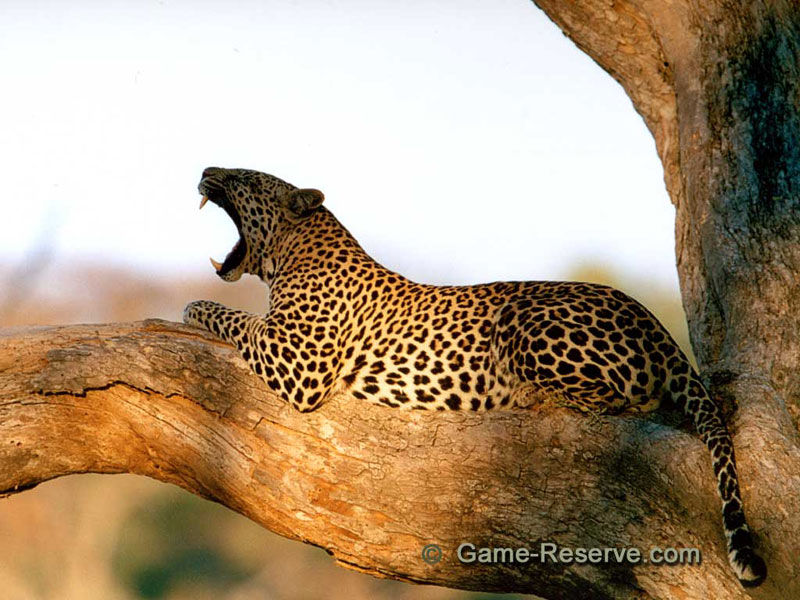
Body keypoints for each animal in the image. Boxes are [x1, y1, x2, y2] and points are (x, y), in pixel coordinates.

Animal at [183, 166, 766, 587]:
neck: (294, 253)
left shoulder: (298, 361)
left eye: (240, 176)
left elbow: (229, 314)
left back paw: (529, 396)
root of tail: (656, 326)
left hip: (526, 319)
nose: (206, 169)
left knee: (625, 399)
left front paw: (192, 307)